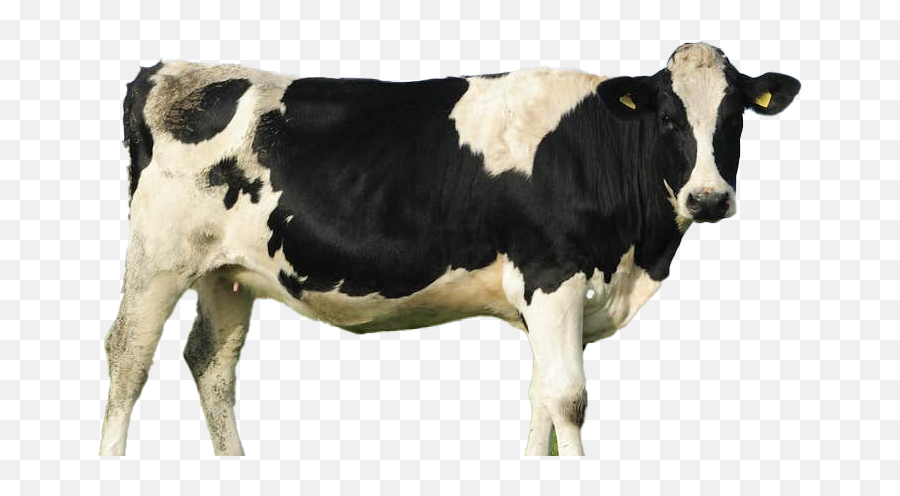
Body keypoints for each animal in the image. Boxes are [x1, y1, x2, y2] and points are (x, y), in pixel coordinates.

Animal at [100, 42, 799, 456]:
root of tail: (166, 72)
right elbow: (569, 398)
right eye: (668, 119)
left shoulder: (550, 298)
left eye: (734, 117)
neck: (634, 256)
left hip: (227, 272)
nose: (708, 198)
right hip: (159, 258)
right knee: (128, 357)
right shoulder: (553, 276)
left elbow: (542, 395)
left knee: (212, 364)